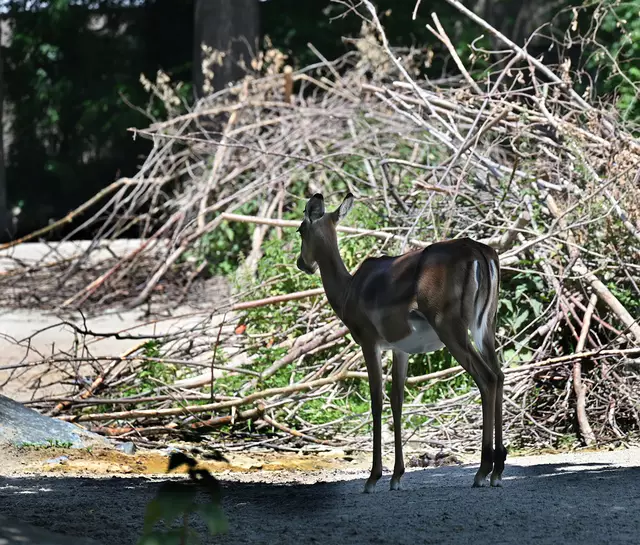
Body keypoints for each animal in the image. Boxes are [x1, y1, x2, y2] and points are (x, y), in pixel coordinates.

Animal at [295, 193, 505, 492]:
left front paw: (373, 478)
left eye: (301, 228)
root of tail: (479, 252)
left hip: (452, 331)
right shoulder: (400, 350)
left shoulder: (370, 343)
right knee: (499, 376)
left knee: (486, 379)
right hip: (484, 328)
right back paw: (497, 470)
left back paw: (482, 471)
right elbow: (397, 401)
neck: (350, 289)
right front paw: (396, 476)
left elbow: (376, 401)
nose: (302, 263)